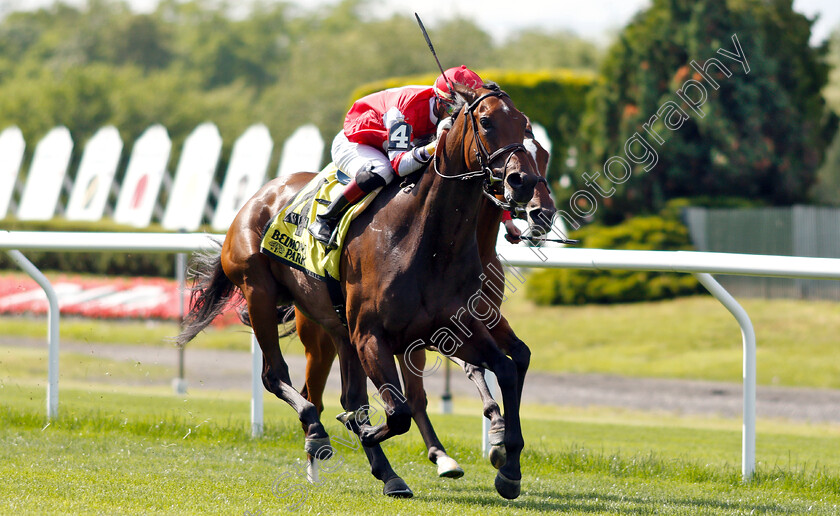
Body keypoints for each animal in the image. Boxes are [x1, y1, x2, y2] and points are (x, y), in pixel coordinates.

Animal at [177, 83, 544, 500]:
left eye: (525, 124)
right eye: (485, 121)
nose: (523, 182)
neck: (427, 241)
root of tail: (257, 198)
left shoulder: (450, 326)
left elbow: (506, 367)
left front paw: (508, 465)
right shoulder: (372, 334)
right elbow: (398, 412)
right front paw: (364, 431)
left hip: (337, 329)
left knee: (345, 395)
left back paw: (384, 470)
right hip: (261, 294)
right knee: (277, 377)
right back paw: (318, 434)